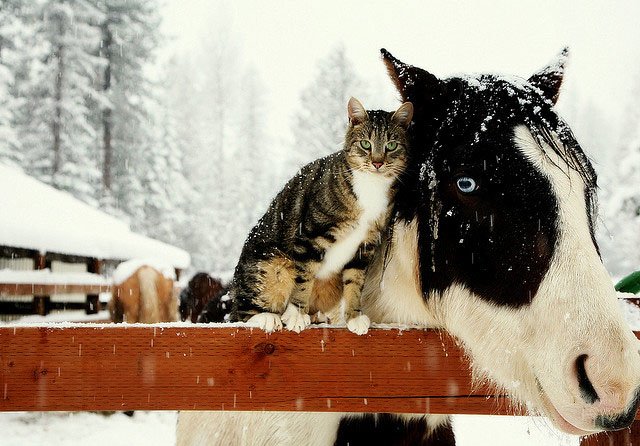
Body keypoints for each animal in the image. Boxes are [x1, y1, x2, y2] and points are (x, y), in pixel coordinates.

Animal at [230, 98, 416, 334]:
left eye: (391, 145)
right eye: (366, 144)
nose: (377, 162)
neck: (370, 188)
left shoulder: (366, 244)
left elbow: (356, 281)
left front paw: (354, 317)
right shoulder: (310, 236)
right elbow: (304, 277)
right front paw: (296, 315)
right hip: (271, 263)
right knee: (243, 312)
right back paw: (268, 317)